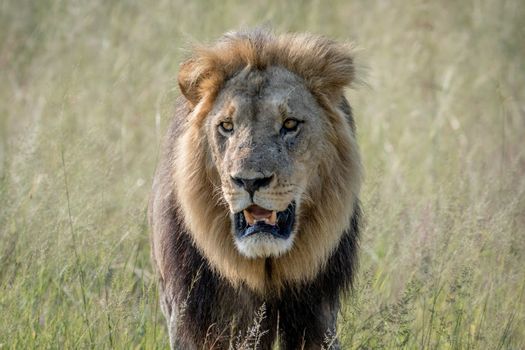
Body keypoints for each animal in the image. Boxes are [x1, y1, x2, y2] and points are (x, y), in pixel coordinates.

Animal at [147, 28, 360, 348]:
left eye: (290, 124)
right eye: (226, 126)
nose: (249, 181)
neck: (262, 267)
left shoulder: (319, 316)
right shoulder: (192, 316)